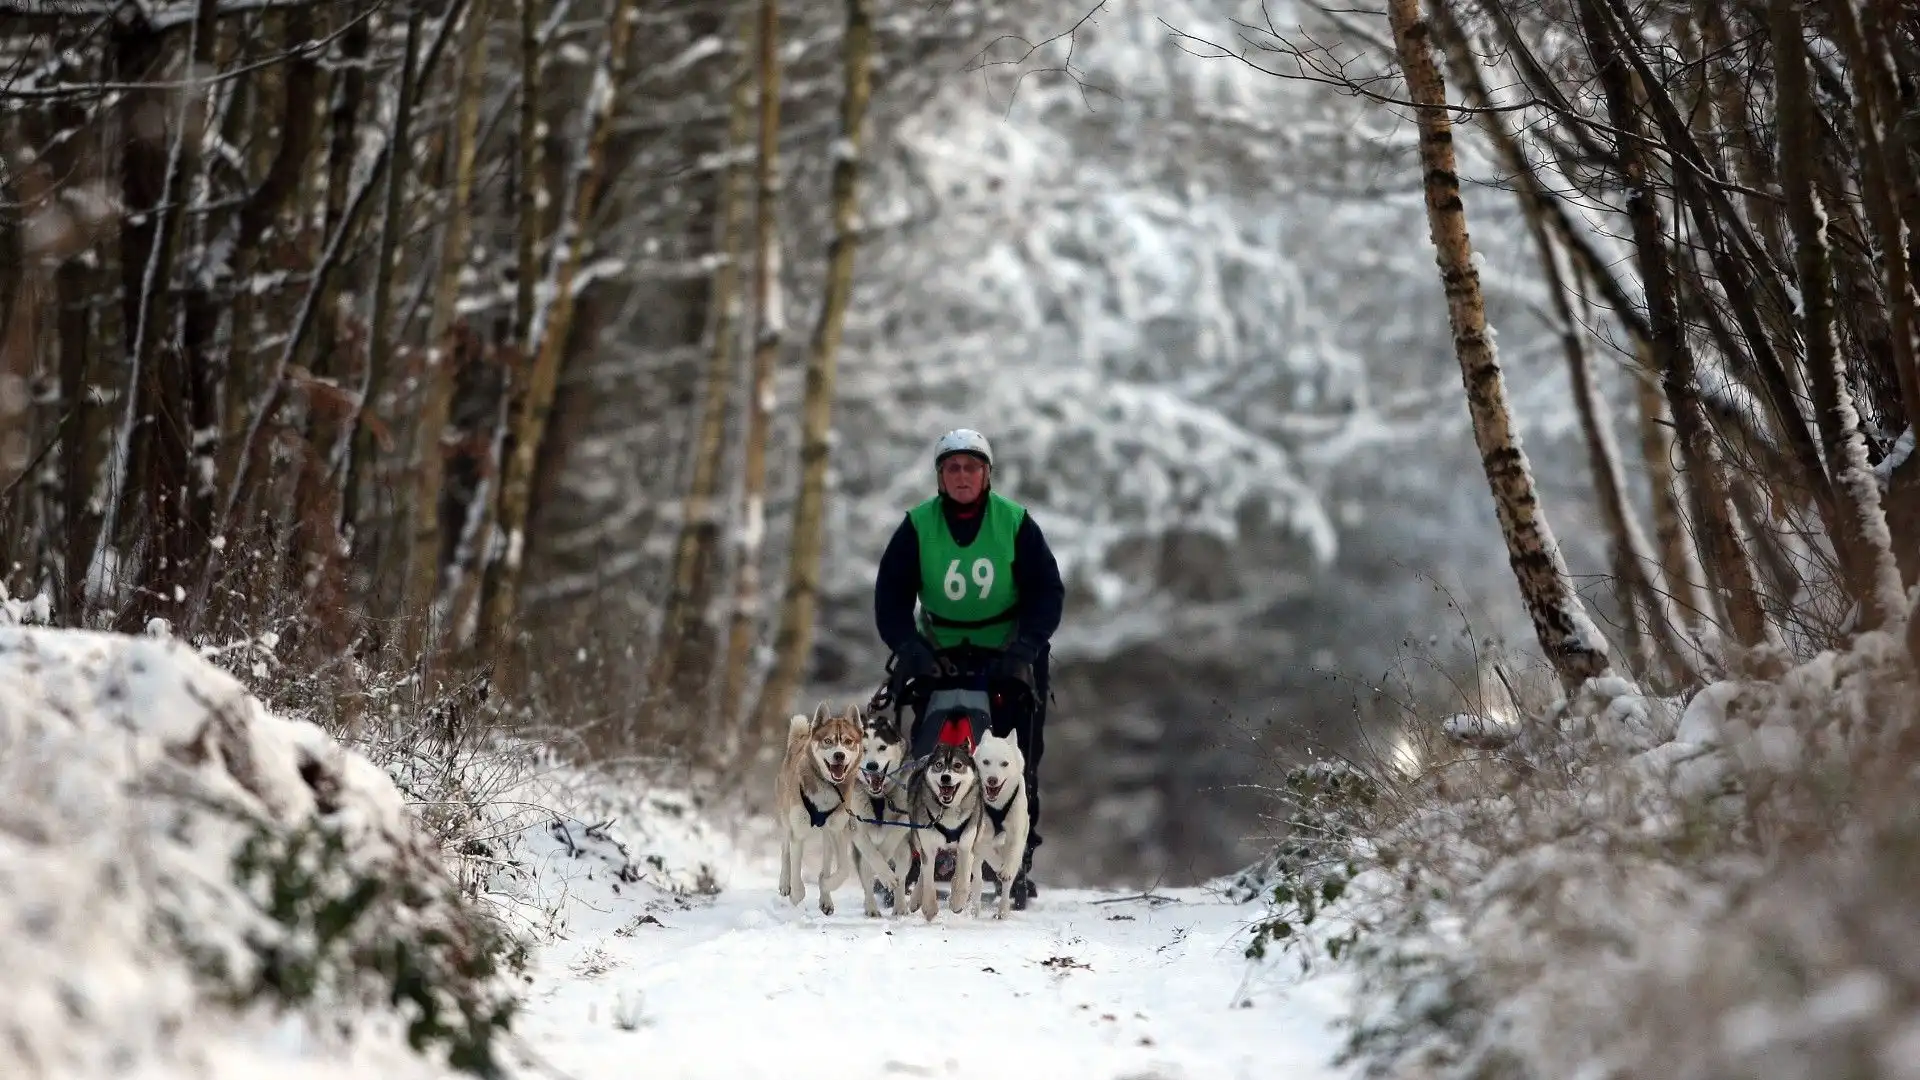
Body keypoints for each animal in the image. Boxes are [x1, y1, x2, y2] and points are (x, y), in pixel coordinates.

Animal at [775, 699, 860, 907]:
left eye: (848, 742)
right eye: (828, 741)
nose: (839, 755)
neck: (827, 787)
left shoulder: (836, 829)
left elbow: (843, 870)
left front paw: (826, 886)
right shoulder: (798, 829)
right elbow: (795, 862)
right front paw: (797, 893)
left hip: (826, 835)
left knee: (826, 859)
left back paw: (825, 898)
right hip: (786, 817)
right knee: (785, 850)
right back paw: (785, 884)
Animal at [852, 711, 917, 910]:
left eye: (882, 747)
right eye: (863, 749)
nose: (872, 766)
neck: (879, 799)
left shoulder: (906, 817)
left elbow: (892, 836)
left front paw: (885, 863)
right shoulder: (856, 826)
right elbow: (871, 853)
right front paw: (884, 874)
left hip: (905, 851)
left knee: (902, 878)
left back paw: (900, 908)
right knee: (865, 876)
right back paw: (871, 908)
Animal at [906, 737, 983, 914]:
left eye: (958, 765)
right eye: (939, 764)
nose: (945, 777)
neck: (948, 810)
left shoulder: (966, 846)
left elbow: (963, 879)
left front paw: (957, 901)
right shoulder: (928, 847)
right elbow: (928, 879)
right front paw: (929, 908)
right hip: (918, 838)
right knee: (923, 872)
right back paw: (916, 898)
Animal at [967, 726, 1029, 910]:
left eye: (1004, 763)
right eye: (986, 762)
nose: (992, 780)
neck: (997, 806)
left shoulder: (1017, 834)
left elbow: (1013, 854)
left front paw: (1006, 870)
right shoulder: (978, 839)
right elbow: (988, 851)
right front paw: (999, 865)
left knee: (1007, 886)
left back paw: (1003, 910)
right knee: (977, 879)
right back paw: (975, 908)